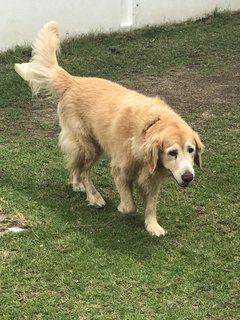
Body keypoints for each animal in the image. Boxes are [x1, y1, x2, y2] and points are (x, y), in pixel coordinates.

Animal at [25, 20, 202, 235]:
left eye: (191, 150)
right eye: (172, 152)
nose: (188, 177)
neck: (147, 128)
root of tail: (74, 80)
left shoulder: (152, 178)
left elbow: (151, 205)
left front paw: (152, 226)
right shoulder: (120, 170)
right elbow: (131, 205)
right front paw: (122, 207)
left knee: (76, 165)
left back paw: (77, 184)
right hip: (89, 146)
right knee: (84, 171)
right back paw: (94, 197)